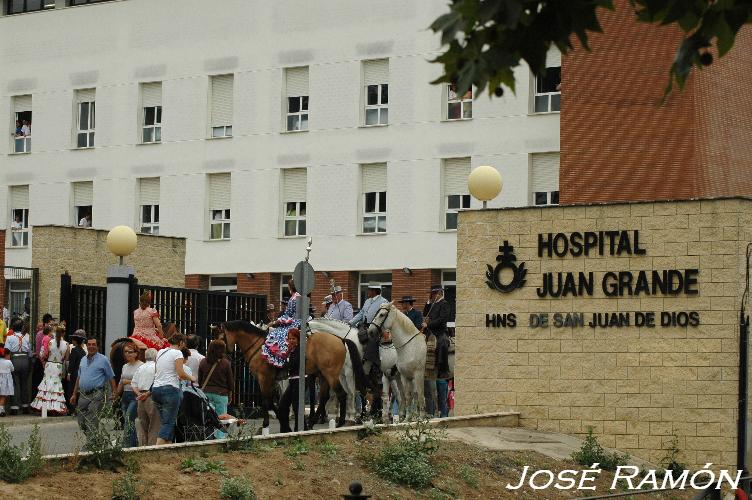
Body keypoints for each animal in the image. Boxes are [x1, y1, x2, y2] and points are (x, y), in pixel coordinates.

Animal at [219, 322, 368, 432]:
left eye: (221, 337)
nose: (225, 355)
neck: (259, 347)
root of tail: (340, 339)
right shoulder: (272, 381)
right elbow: (273, 402)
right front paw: (282, 422)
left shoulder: (264, 379)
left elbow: (267, 402)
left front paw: (266, 424)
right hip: (323, 375)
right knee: (324, 397)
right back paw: (311, 423)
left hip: (332, 374)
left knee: (342, 394)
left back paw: (340, 422)